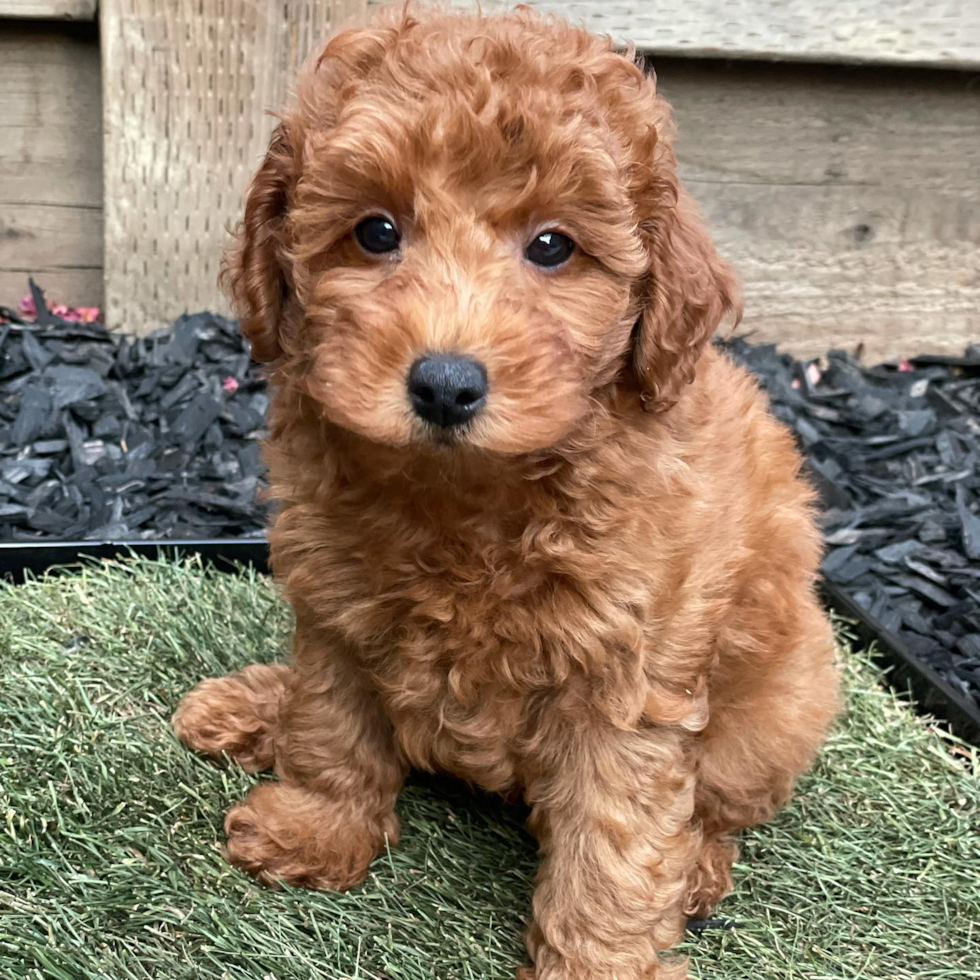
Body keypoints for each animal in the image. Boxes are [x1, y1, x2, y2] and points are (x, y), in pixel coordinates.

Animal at [172, 7, 840, 980]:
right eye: (375, 231)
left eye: (553, 245)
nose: (446, 384)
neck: (468, 497)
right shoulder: (335, 600)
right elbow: (332, 724)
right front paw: (317, 828)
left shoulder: (627, 681)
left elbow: (615, 842)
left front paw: (601, 963)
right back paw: (254, 705)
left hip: (783, 702)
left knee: (721, 803)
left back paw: (701, 870)